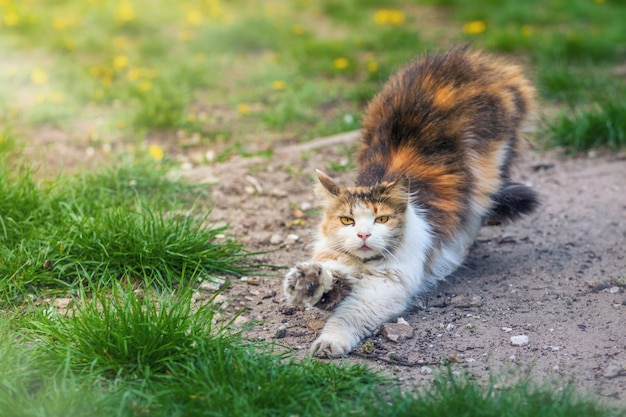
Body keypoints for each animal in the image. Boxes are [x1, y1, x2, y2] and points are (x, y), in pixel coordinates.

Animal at [282, 46, 536, 358]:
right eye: (346, 220)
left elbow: (348, 316)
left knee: (474, 213)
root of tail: (473, 60)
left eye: (382, 219)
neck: (366, 266)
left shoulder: (385, 289)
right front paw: (307, 283)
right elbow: (331, 284)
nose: (363, 235)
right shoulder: (339, 263)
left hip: (487, 172)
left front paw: (330, 342)